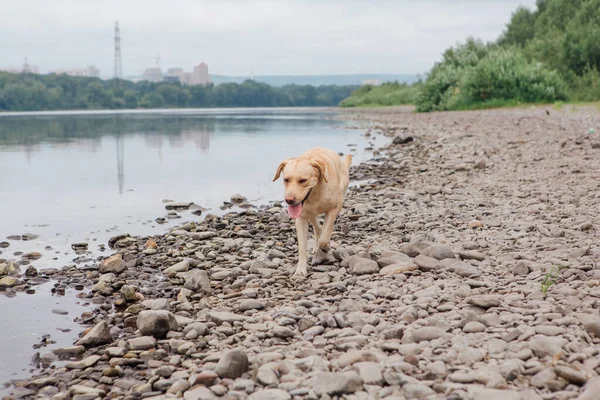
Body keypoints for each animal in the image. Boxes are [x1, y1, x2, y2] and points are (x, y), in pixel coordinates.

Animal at [274, 148, 352, 276]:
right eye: (286, 180)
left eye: (303, 180)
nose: (289, 200)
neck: (315, 193)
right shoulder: (300, 218)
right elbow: (302, 247)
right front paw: (300, 269)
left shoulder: (333, 209)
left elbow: (324, 237)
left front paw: (326, 247)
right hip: (308, 213)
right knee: (317, 226)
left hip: (341, 197)